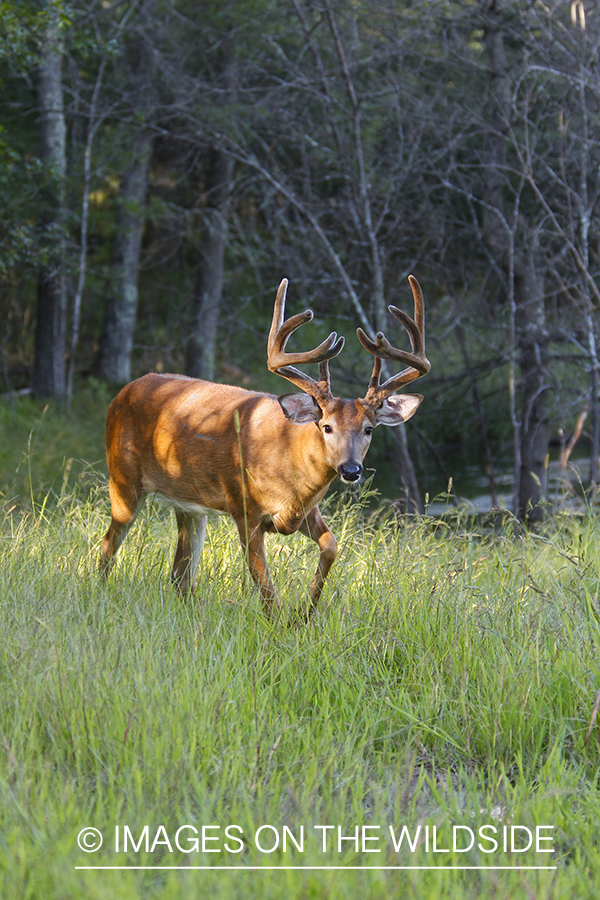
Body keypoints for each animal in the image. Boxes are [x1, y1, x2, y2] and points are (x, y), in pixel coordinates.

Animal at [99, 278, 426, 616]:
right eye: (327, 426)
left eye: (369, 429)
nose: (350, 469)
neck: (286, 463)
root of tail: (121, 393)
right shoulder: (244, 508)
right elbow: (266, 588)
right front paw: (282, 622)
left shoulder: (307, 510)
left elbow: (331, 546)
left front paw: (305, 613)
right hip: (123, 479)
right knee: (108, 546)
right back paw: (99, 594)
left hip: (189, 505)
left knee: (180, 574)